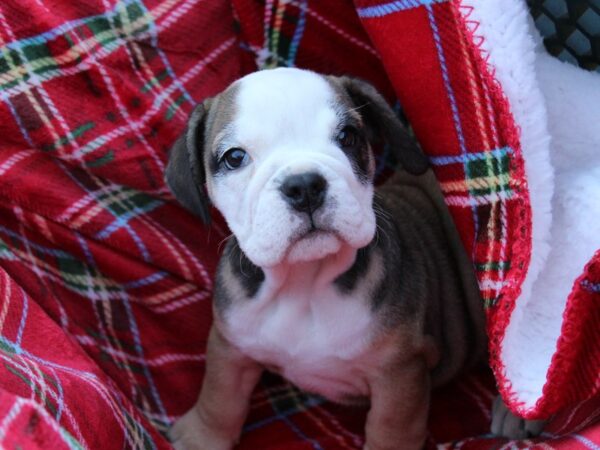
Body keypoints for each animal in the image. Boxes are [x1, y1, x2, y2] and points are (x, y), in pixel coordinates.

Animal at [165, 67, 544, 450]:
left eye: (347, 137)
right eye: (235, 158)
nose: (304, 185)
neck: (303, 282)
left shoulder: (399, 372)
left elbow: (391, 429)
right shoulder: (230, 343)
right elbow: (219, 395)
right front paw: (201, 437)